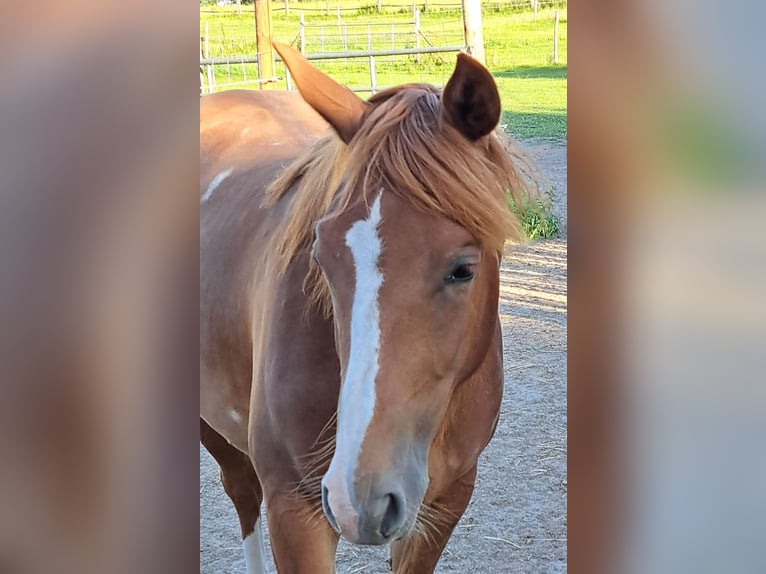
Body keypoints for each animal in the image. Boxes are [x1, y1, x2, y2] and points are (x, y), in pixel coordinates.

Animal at [200, 41, 533, 573]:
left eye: (463, 269)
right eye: (321, 256)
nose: (359, 496)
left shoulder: (445, 505)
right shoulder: (295, 511)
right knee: (242, 490)